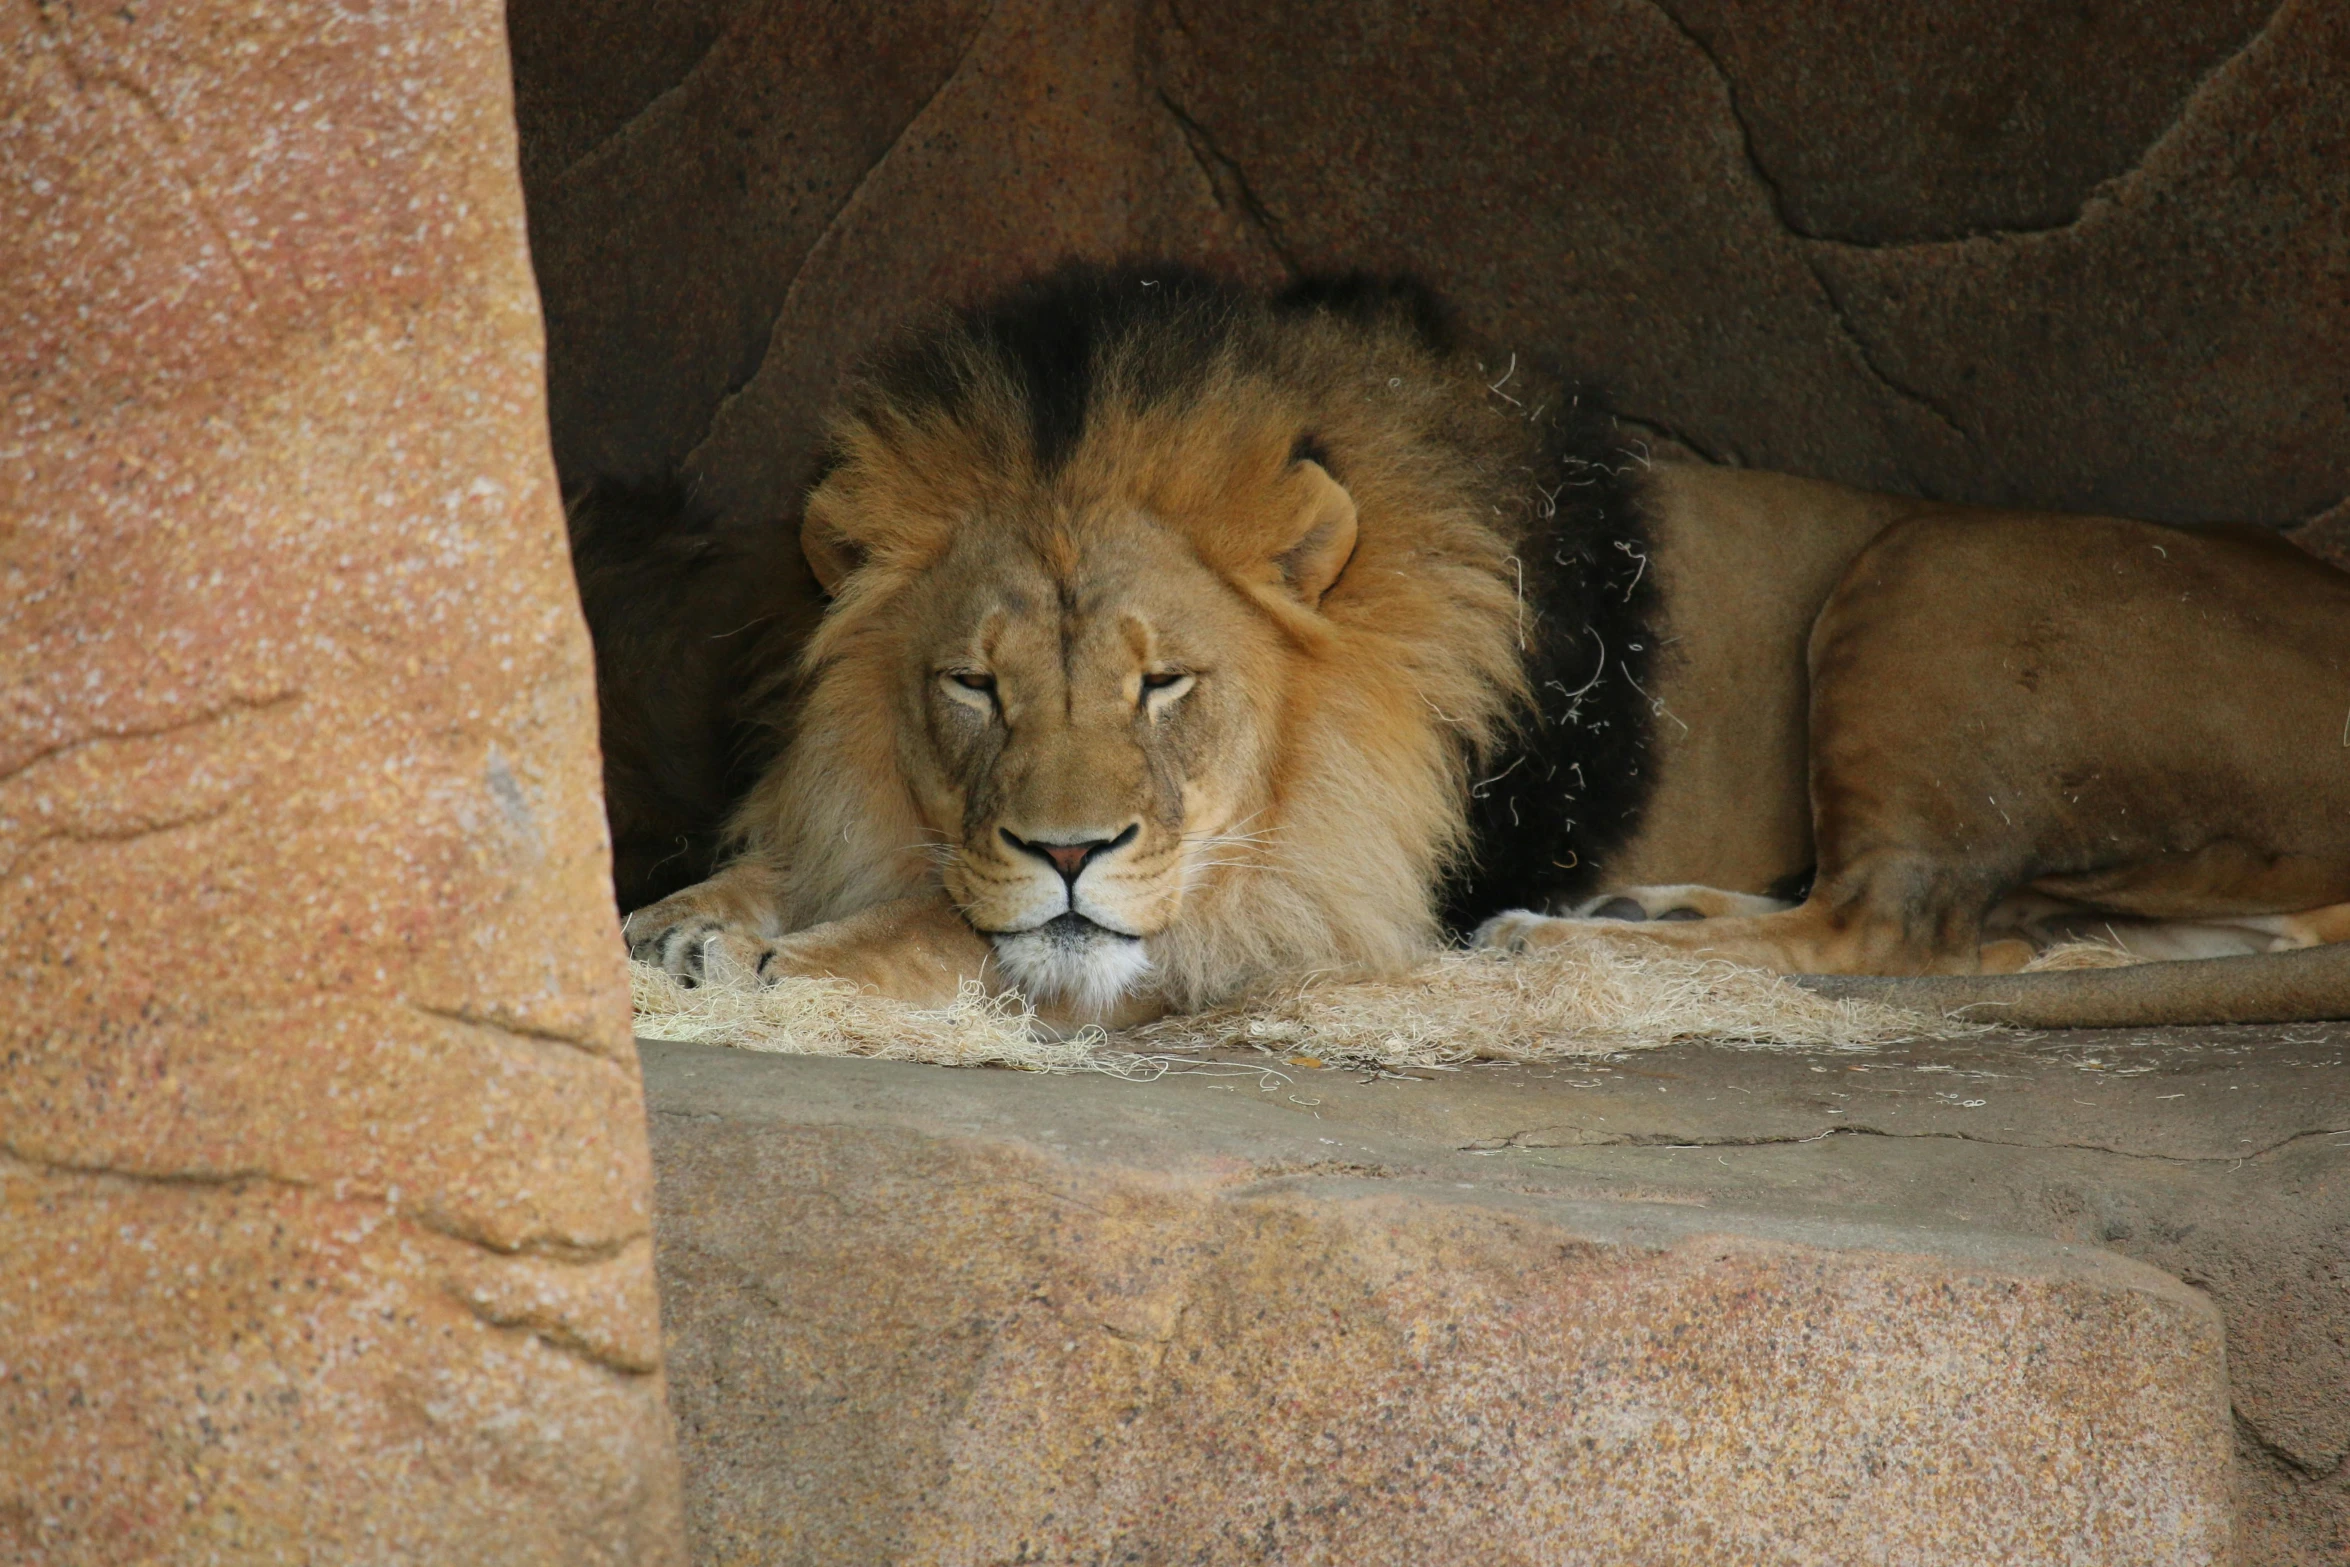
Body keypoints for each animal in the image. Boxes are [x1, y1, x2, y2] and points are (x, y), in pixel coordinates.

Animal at [615, 261, 2350, 1029]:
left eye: (1164, 681)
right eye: (971, 686)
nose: (1063, 846)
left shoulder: (1307, 892)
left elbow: (997, 932)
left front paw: (787, 952)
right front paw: (683, 910)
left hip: (1929, 570)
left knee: (1892, 928)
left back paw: (1558, 942)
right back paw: (1650, 910)